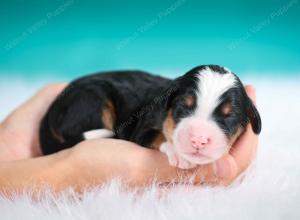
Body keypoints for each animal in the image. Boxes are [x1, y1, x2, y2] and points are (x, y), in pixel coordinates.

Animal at [39, 65, 260, 168]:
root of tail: (51, 110)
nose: (198, 139)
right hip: (93, 99)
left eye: (228, 117)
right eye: (182, 108)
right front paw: (178, 152)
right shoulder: (141, 129)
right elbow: (158, 134)